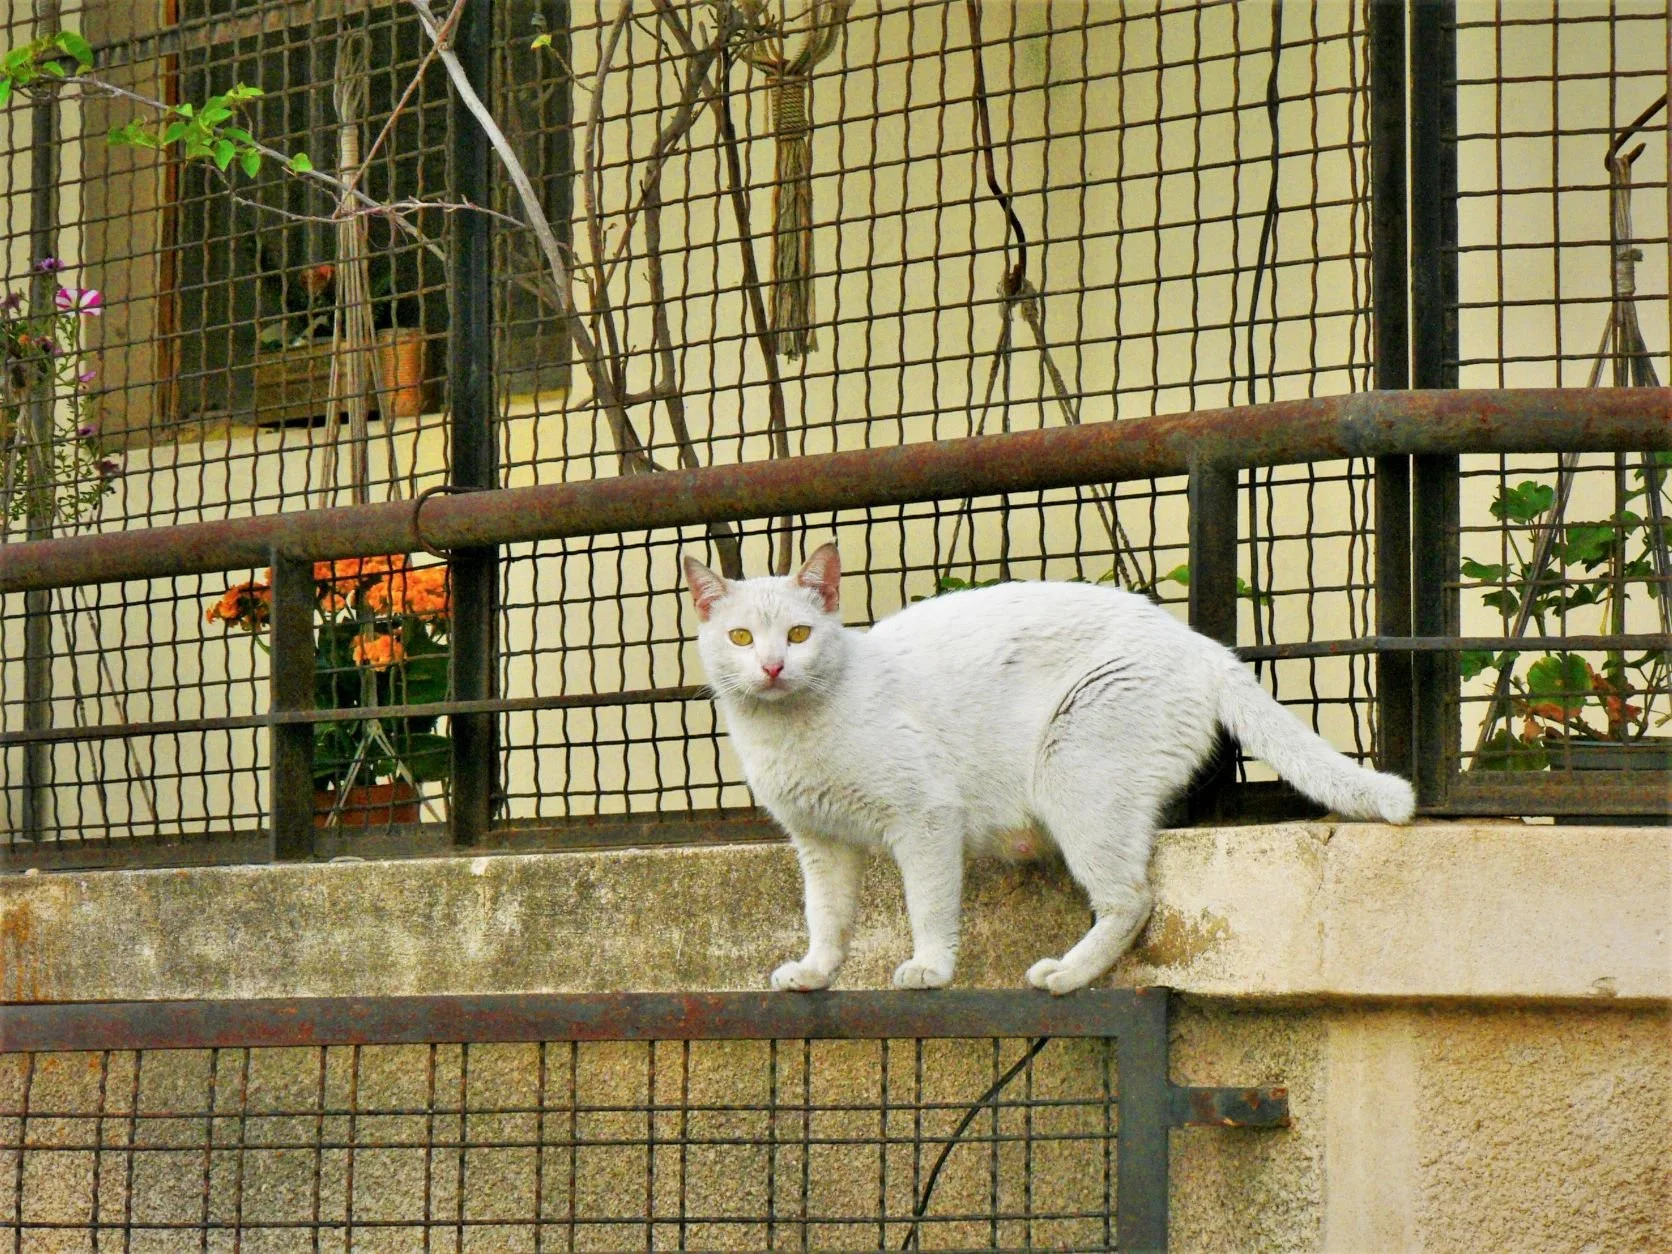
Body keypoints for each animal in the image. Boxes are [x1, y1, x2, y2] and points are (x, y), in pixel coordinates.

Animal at [683, 543, 1415, 995]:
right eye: (741, 637)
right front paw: (815, 973)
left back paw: (1066, 974)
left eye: (799, 635)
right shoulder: (820, 844)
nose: (771, 666)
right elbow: (826, 917)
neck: (790, 731)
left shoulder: (926, 819)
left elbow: (928, 905)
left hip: (1076, 770)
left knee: (1132, 899)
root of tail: (1204, 647)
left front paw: (929, 968)